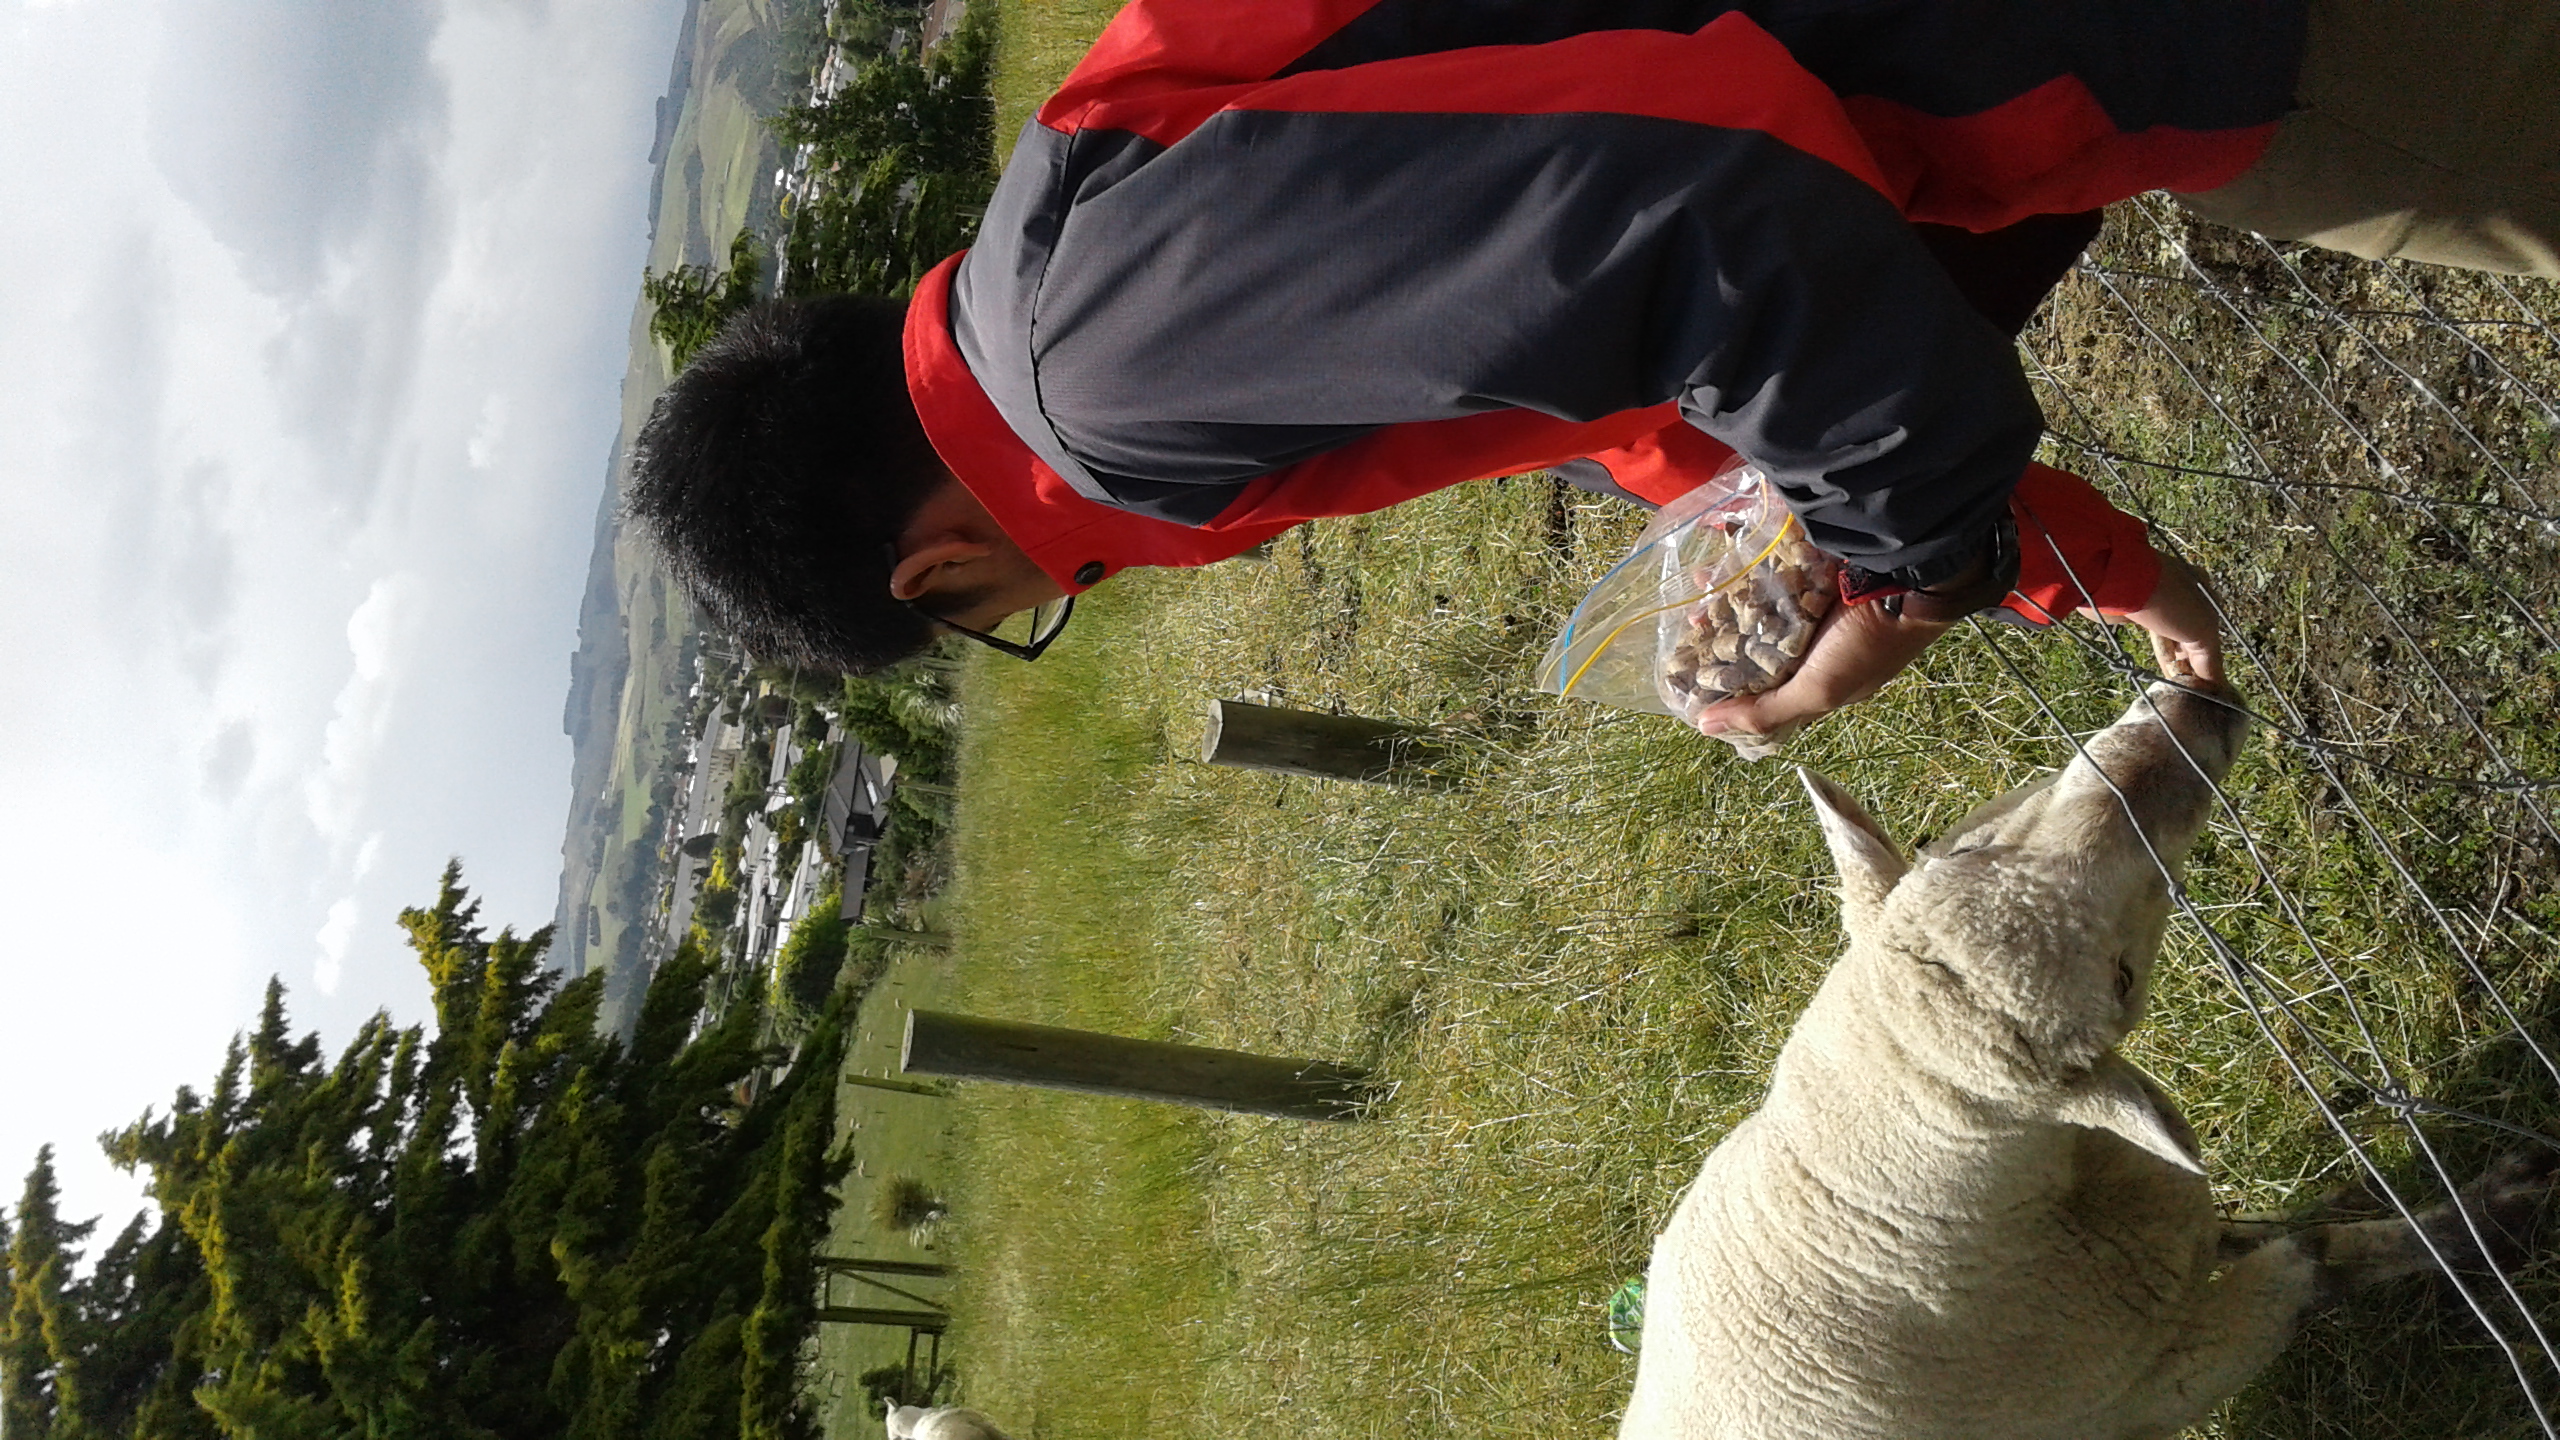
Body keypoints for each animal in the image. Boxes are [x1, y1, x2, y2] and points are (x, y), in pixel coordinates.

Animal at [1619, 679, 2555, 1440]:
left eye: (1963, 848)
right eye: (2120, 978)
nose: (2190, 715)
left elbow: (2271, 1229)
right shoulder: (2156, 1380)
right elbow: (2318, 1258)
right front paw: (2493, 1215)